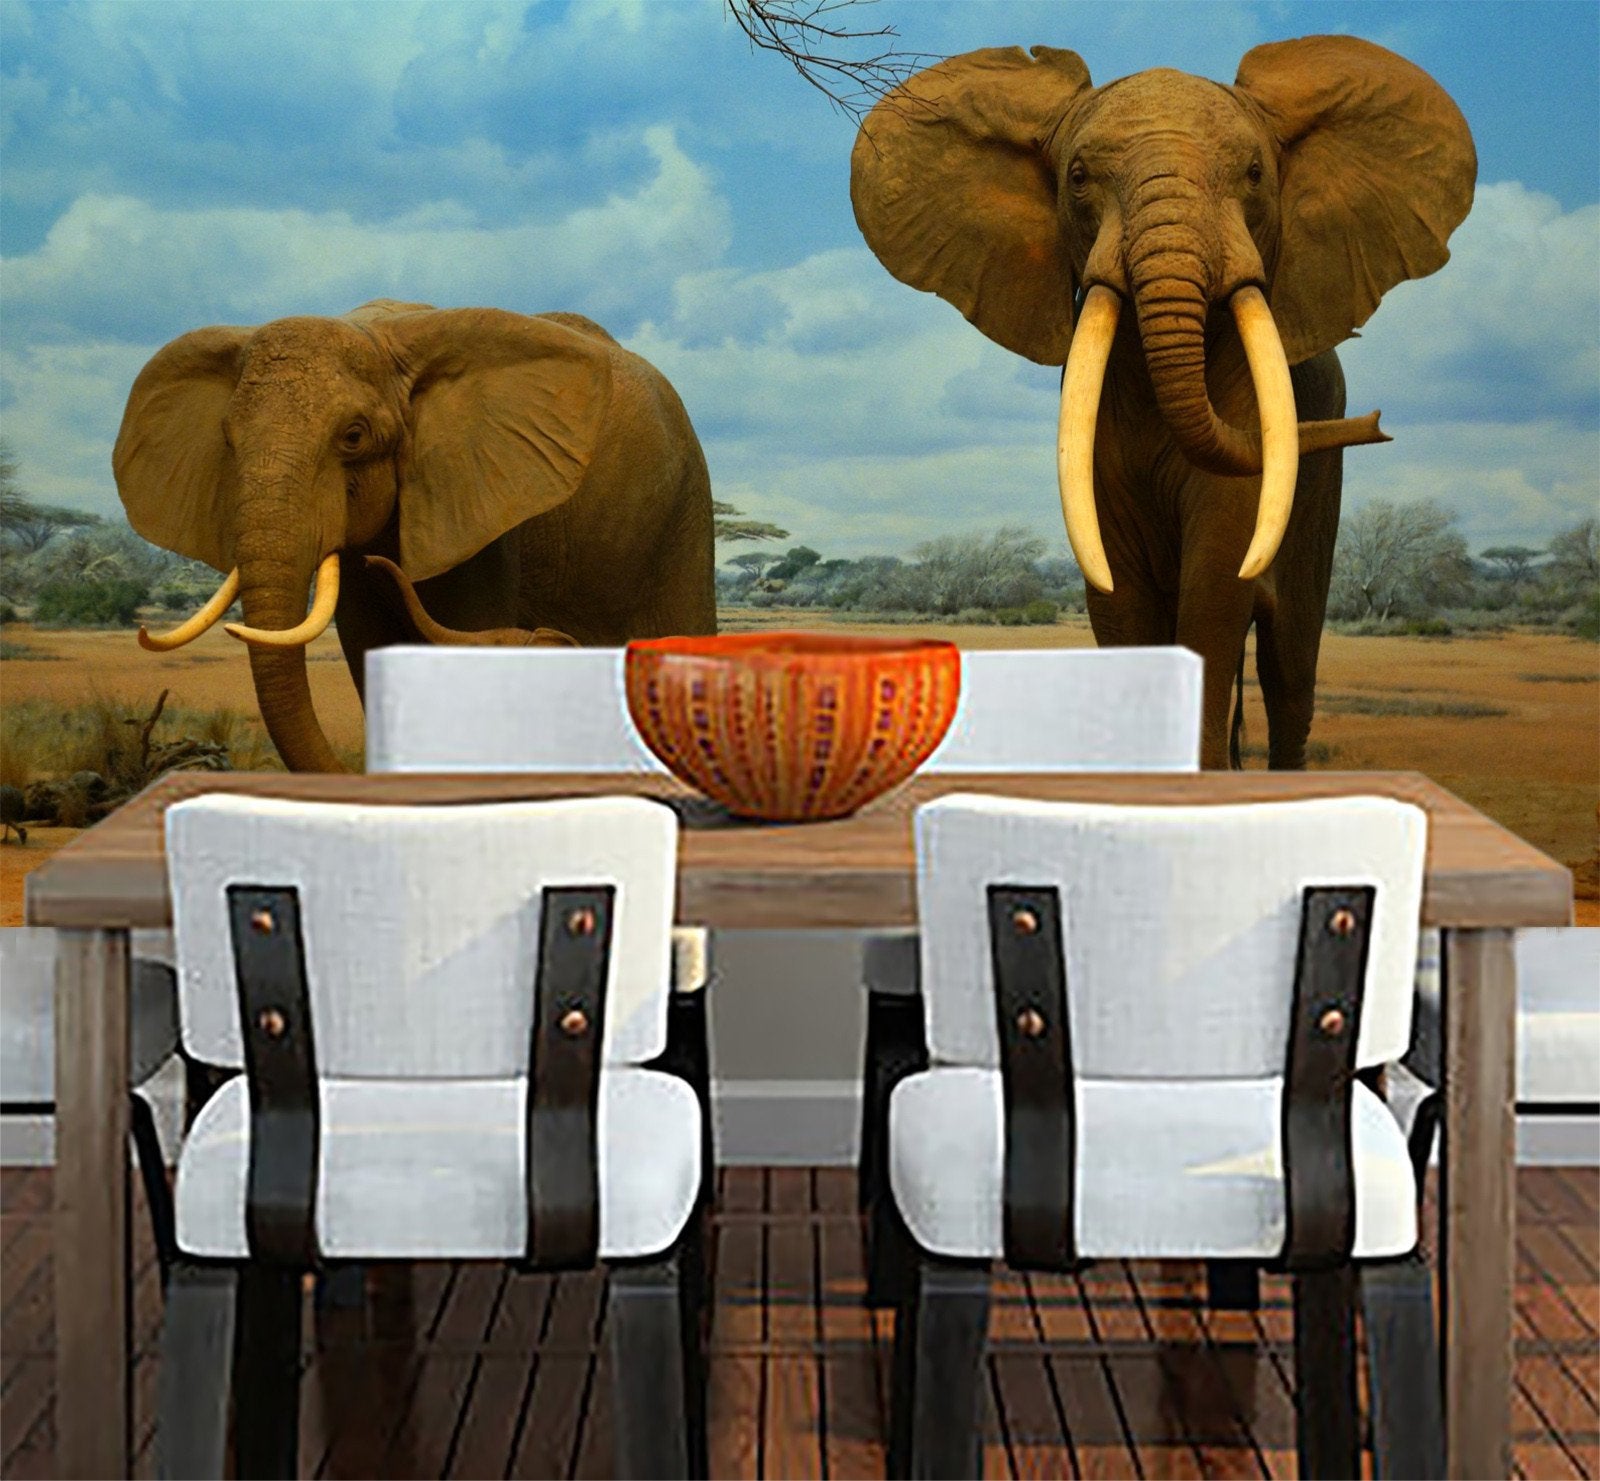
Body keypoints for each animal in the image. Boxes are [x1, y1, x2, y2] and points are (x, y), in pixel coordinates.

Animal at [851, 36, 1476, 767]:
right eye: (1078, 176)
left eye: (1256, 173)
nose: (1375, 424)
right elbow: (1116, 587)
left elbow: (1216, 584)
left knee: (1290, 666)